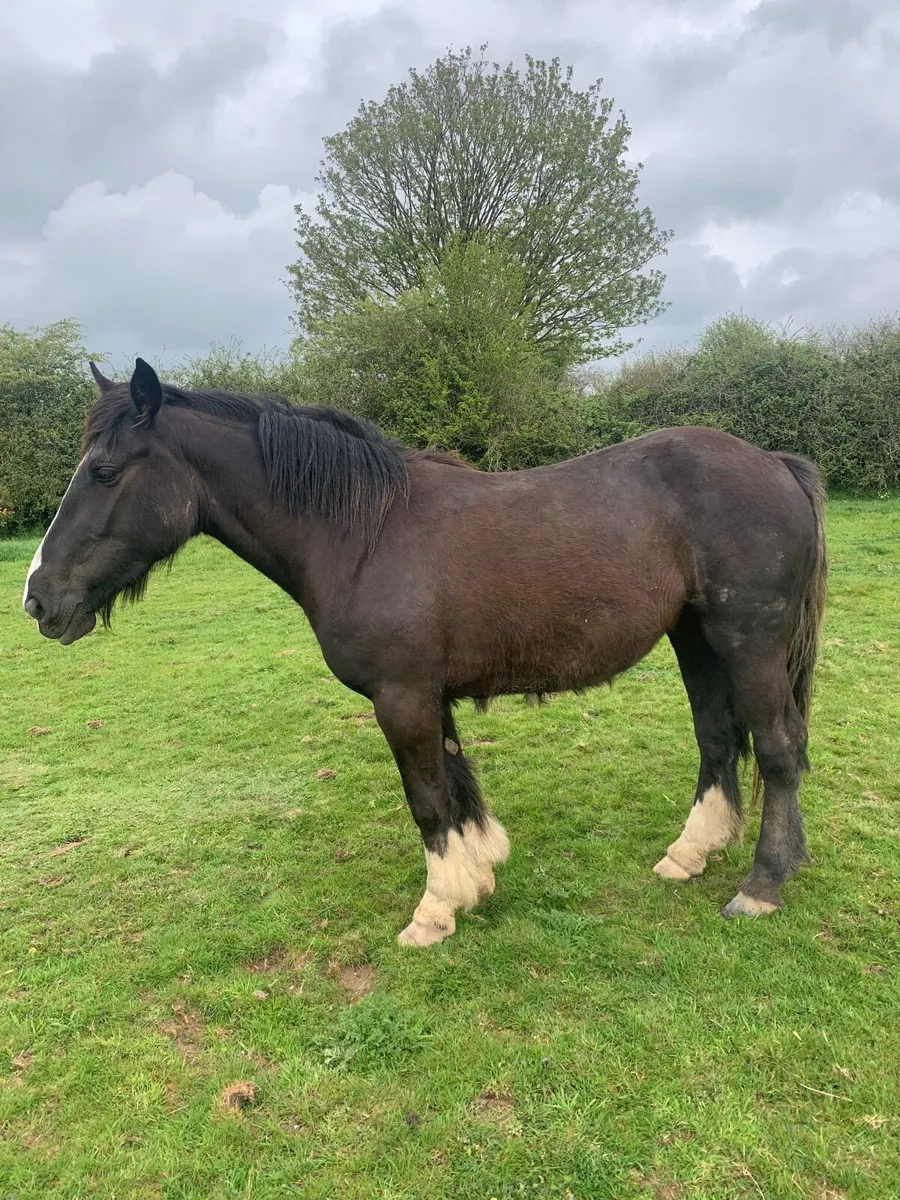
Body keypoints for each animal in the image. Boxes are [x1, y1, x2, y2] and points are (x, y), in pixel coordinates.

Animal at [23, 358, 828, 946]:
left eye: (104, 471)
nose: (37, 597)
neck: (361, 534)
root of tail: (772, 462)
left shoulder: (402, 696)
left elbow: (428, 798)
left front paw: (435, 911)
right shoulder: (428, 696)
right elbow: (456, 781)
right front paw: (479, 875)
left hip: (749, 642)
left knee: (778, 748)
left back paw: (761, 887)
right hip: (697, 640)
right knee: (718, 740)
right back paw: (690, 855)